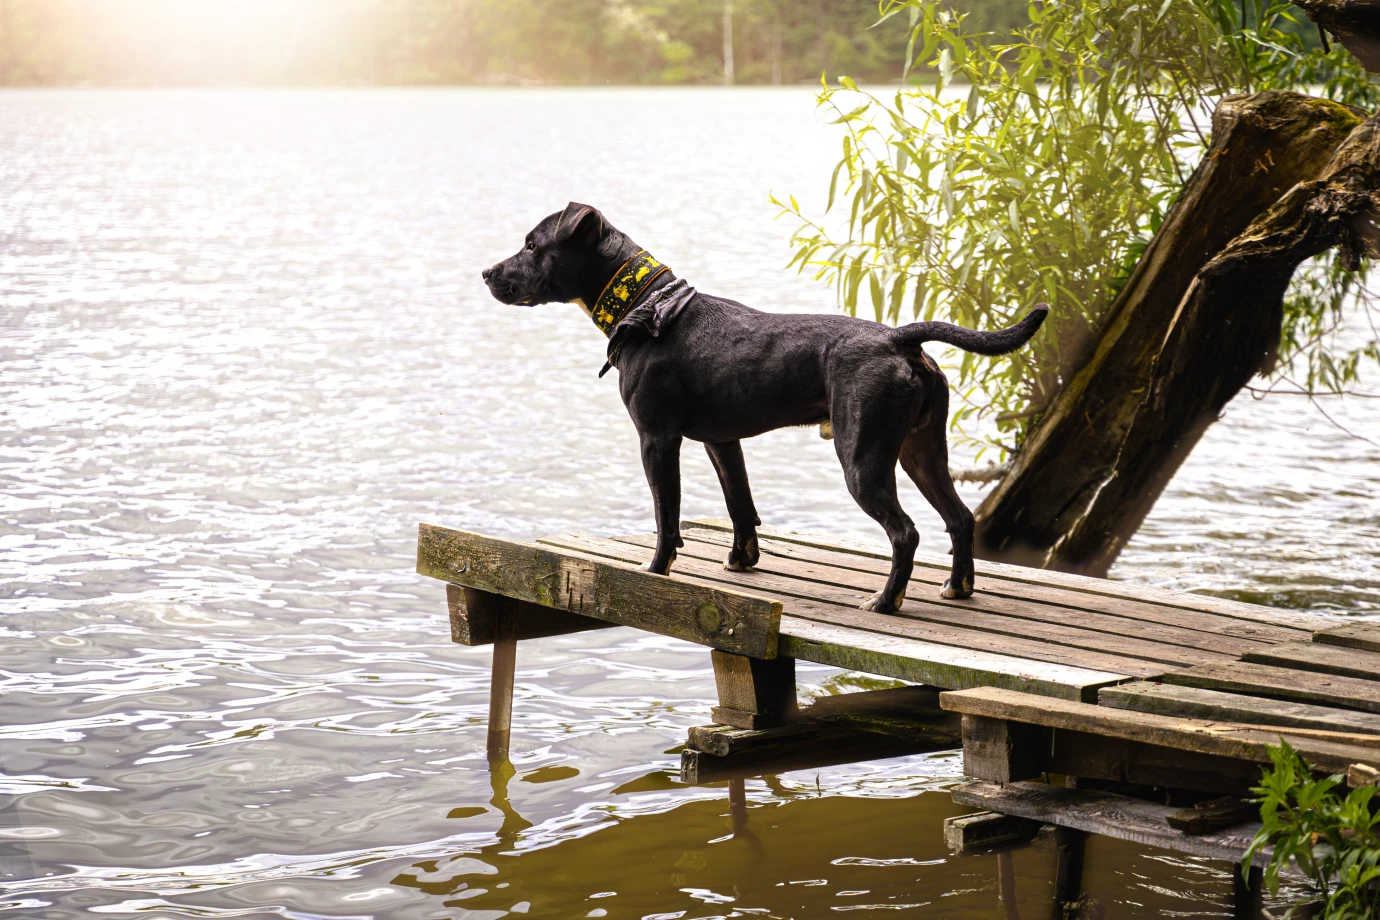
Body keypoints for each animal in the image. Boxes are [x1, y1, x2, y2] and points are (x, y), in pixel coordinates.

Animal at [485, 205, 1043, 615]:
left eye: (532, 245)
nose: (487, 271)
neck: (647, 305)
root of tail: (899, 340)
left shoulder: (657, 439)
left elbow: (668, 516)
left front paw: (655, 571)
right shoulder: (720, 440)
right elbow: (740, 505)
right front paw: (741, 560)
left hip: (863, 459)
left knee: (905, 532)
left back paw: (885, 602)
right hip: (920, 452)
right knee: (960, 518)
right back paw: (958, 588)